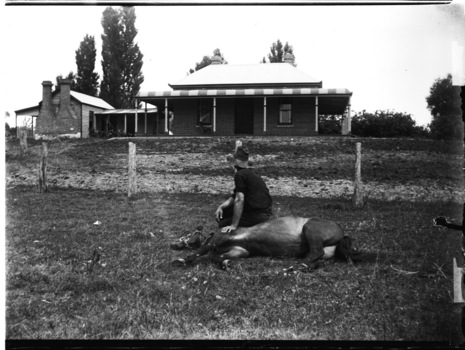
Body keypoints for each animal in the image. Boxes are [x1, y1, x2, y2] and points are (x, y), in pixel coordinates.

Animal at [171, 216, 362, 270]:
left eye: (188, 235)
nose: (174, 245)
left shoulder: (218, 240)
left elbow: (202, 251)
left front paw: (181, 260)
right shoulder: (240, 251)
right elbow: (217, 257)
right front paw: (226, 263)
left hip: (310, 228)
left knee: (316, 252)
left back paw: (295, 267)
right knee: (317, 257)